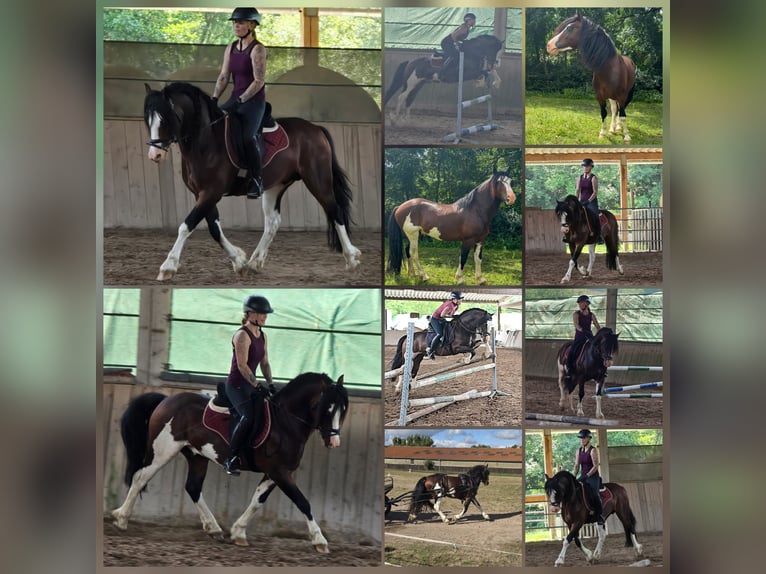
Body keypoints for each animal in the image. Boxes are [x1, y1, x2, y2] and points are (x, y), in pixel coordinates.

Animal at [110, 372, 349, 553]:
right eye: (327, 407)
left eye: (343, 410)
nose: (334, 441)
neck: (286, 422)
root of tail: (166, 400)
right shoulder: (280, 472)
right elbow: (303, 502)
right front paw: (320, 540)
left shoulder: (275, 473)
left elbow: (257, 500)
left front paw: (238, 532)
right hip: (163, 450)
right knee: (140, 477)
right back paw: (121, 518)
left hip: (197, 455)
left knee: (193, 487)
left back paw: (214, 529)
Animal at [143, 82, 361, 281]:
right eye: (148, 121)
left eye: (165, 119)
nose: (155, 155)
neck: (206, 140)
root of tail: (316, 128)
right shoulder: (202, 193)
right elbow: (214, 228)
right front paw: (239, 261)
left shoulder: (211, 192)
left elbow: (186, 225)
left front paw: (168, 266)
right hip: (275, 186)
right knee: (273, 222)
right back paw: (255, 262)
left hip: (317, 180)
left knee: (335, 211)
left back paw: (351, 258)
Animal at [387, 168, 516, 284]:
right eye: (498, 182)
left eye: (510, 181)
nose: (512, 198)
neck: (475, 211)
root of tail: (400, 207)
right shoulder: (468, 240)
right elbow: (463, 258)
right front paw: (460, 279)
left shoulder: (480, 240)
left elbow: (478, 259)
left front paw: (480, 279)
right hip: (413, 235)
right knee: (414, 253)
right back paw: (424, 276)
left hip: (414, 235)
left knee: (408, 251)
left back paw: (412, 275)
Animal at [546, 12, 637, 143]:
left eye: (569, 28)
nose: (549, 45)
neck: (609, 70)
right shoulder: (600, 97)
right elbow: (604, 113)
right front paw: (603, 133)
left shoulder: (622, 96)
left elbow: (623, 115)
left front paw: (627, 136)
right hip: (612, 97)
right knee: (615, 110)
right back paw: (613, 129)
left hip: (627, 95)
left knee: (620, 111)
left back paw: (619, 128)